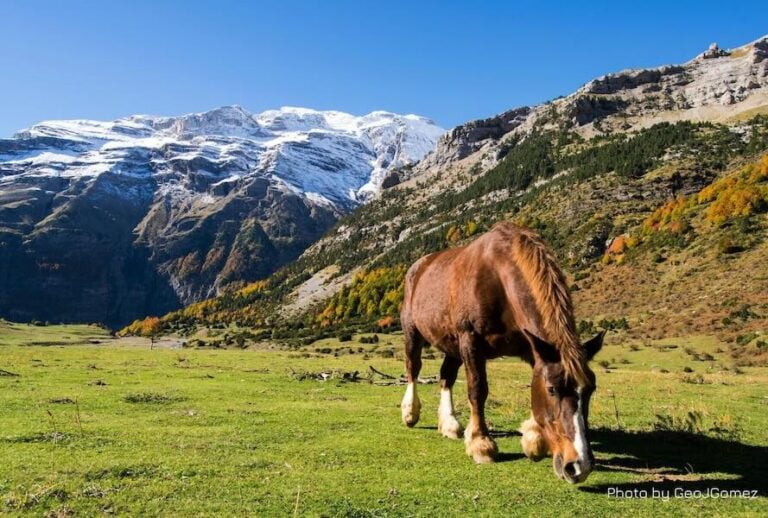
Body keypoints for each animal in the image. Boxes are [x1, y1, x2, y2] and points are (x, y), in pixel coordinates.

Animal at [399, 221, 604, 483]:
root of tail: (418, 266)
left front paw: (534, 439)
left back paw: (450, 424)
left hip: (452, 344)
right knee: (413, 368)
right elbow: (478, 390)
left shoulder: (531, 347)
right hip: (413, 333)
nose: (579, 466)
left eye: (590, 389)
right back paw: (410, 413)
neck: (499, 278)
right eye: (552, 389)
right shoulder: (471, 341)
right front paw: (481, 444)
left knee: (446, 376)